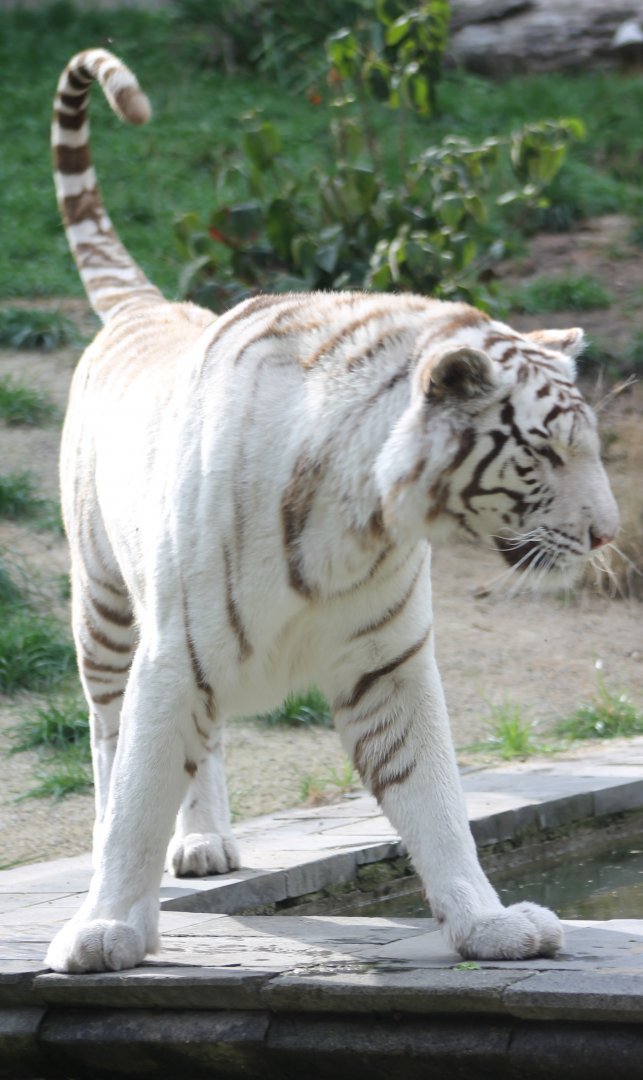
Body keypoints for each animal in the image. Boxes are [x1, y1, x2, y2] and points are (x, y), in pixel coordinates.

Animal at [45, 49, 618, 974]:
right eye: (543, 453)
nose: (606, 534)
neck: (362, 521)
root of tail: (149, 306)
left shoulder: (390, 658)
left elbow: (435, 801)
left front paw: (486, 924)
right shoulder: (174, 650)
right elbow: (138, 792)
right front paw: (105, 931)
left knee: (199, 749)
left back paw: (204, 843)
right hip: (104, 608)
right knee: (107, 737)